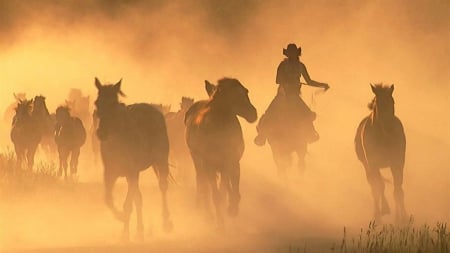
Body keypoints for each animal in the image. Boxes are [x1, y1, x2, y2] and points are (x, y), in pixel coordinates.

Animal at [94, 78, 171, 240]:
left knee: (162, 187)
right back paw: (140, 230)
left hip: (160, 161)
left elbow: (128, 204)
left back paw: (166, 222)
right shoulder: (110, 174)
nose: (101, 133)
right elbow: (108, 199)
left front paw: (124, 230)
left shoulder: (131, 173)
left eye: (113, 103)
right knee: (138, 199)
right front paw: (123, 223)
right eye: (97, 103)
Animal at [185, 77, 256, 227]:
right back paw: (205, 212)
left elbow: (232, 191)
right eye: (234, 96)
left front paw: (232, 209)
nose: (253, 113)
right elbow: (215, 195)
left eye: (245, 91)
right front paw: (220, 223)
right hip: (198, 162)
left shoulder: (233, 163)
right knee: (202, 184)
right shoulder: (209, 166)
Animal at [356, 84, 408, 222]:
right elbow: (380, 187)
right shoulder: (373, 164)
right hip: (367, 167)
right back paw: (378, 215)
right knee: (374, 188)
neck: (384, 137)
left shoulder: (397, 163)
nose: (390, 127)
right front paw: (385, 210)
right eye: (378, 103)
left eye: (392, 101)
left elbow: (398, 191)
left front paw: (402, 219)